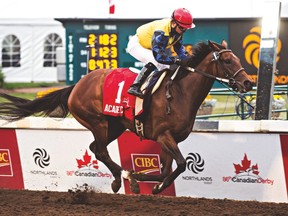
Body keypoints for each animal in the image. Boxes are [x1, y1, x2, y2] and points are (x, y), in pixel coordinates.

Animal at [0, 40, 252, 194]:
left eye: (238, 59)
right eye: (227, 61)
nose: (248, 83)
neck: (180, 92)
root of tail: (77, 85)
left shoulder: (170, 140)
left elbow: (167, 170)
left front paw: (154, 185)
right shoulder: (164, 136)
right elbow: (180, 165)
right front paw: (137, 178)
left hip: (115, 126)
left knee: (95, 149)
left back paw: (117, 178)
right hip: (98, 122)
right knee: (100, 150)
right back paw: (123, 176)